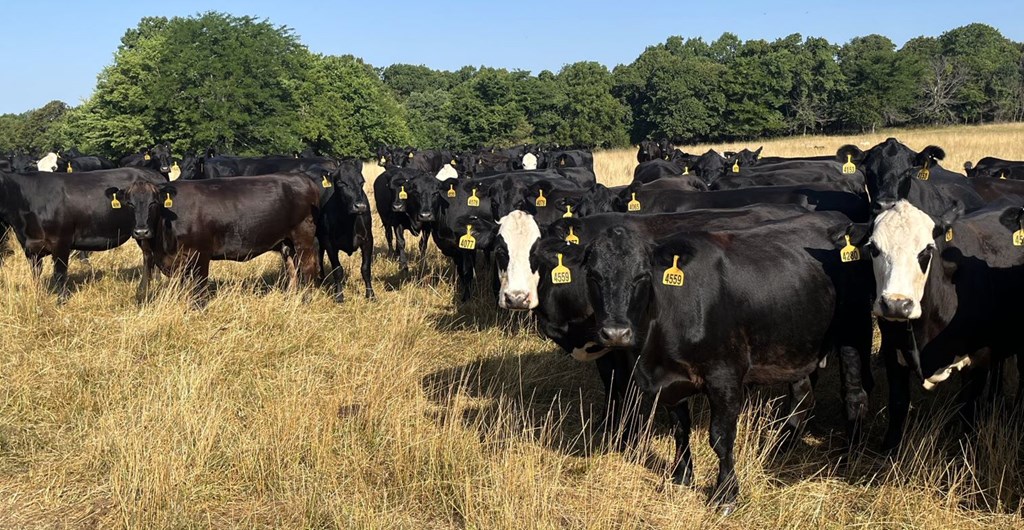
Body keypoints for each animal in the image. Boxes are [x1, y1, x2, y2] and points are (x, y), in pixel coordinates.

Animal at [0, 170, 165, 302]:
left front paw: (61, 301)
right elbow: (35, 273)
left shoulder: (61, 242)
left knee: (148, 256)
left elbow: (60, 273)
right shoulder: (29, 246)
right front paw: (38, 295)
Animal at [103, 175, 319, 302]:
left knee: (308, 268)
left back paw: (306, 299)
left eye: (154, 202)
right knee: (293, 269)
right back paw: (291, 297)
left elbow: (199, 288)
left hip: (303, 236)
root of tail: (302, 179)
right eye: (129, 204)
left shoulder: (200, 254)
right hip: (286, 243)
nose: (141, 232)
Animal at [577, 211, 872, 511]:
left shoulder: (725, 377)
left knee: (855, 395)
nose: (615, 333)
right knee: (802, 397)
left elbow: (720, 438)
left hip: (855, 331)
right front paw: (681, 477)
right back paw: (783, 445)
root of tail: (838, 219)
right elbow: (680, 429)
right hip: (795, 343)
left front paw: (726, 494)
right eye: (593, 276)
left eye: (642, 276)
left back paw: (850, 455)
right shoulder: (671, 383)